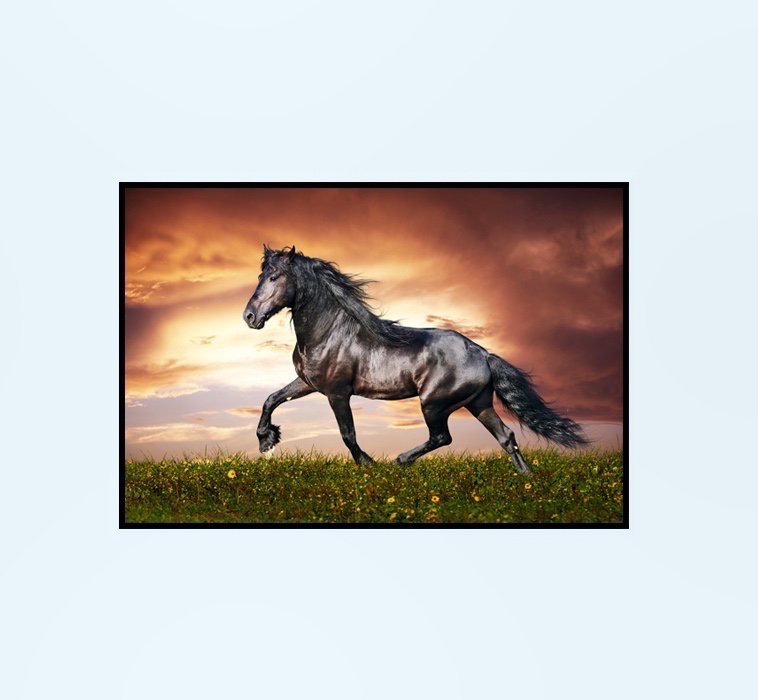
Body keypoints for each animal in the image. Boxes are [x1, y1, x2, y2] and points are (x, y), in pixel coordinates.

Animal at [242, 245, 588, 473]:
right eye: (260, 275)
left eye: (274, 277)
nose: (249, 316)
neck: (329, 332)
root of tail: (483, 354)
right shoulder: (308, 383)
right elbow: (271, 399)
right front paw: (266, 441)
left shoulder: (337, 393)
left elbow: (347, 434)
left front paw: (368, 464)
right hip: (478, 403)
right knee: (506, 436)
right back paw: (526, 480)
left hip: (434, 403)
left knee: (442, 437)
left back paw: (400, 460)